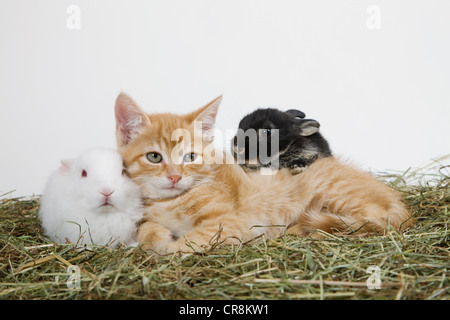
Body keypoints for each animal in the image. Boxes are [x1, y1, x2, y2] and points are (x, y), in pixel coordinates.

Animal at [114, 93, 414, 255]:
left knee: (364, 226)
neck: (170, 201)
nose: (175, 177)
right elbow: (147, 231)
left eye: (190, 157)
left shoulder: (231, 224)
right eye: (154, 157)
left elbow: (191, 242)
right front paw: (155, 240)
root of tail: (402, 207)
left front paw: (167, 250)